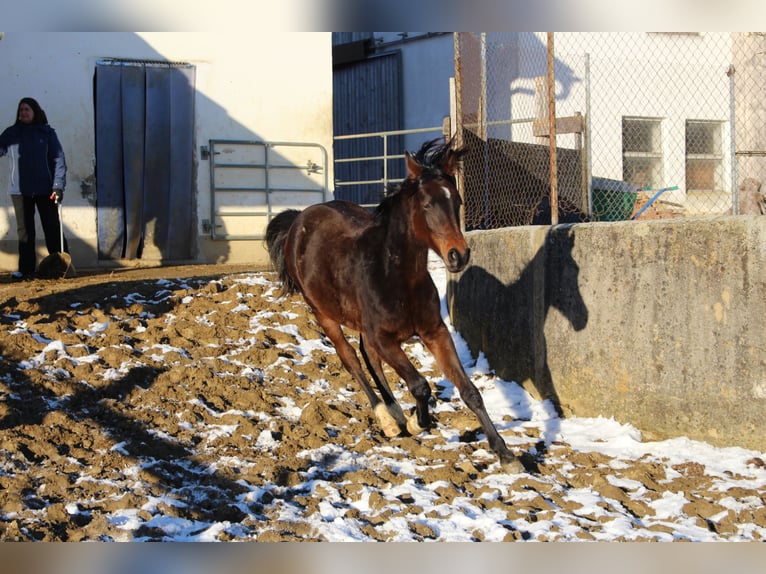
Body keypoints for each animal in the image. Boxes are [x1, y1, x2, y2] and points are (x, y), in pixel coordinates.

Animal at [266, 139, 524, 473]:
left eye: (457, 201)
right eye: (426, 204)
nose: (458, 255)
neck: (397, 278)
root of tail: (298, 219)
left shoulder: (434, 332)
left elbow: (470, 390)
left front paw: (505, 454)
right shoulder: (383, 336)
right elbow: (420, 385)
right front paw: (417, 422)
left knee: (368, 356)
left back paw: (395, 413)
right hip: (323, 313)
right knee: (351, 358)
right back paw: (388, 419)